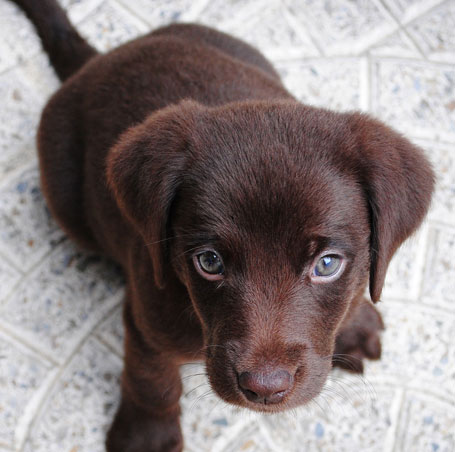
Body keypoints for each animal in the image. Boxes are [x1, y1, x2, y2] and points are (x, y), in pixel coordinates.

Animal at [12, 0, 436, 452]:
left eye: (327, 264)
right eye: (209, 262)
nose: (265, 388)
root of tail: (97, 61)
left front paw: (354, 321)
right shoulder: (147, 318)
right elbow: (151, 379)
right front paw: (147, 434)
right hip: (65, 197)